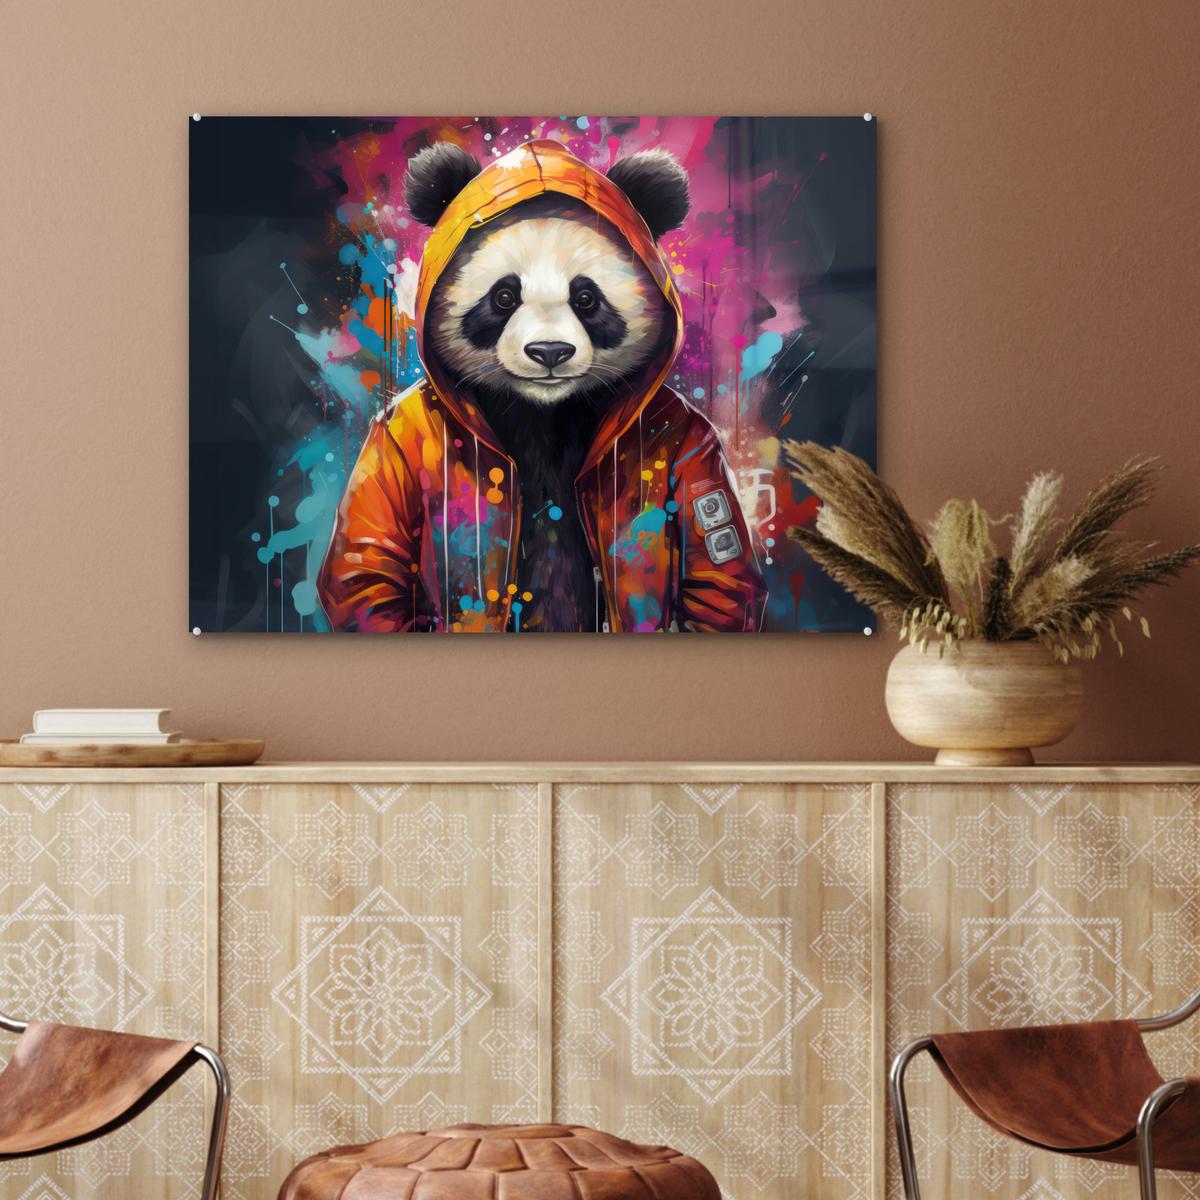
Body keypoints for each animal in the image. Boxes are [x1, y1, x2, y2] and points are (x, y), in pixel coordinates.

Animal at [318, 138, 765, 634]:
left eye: (586, 298)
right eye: (504, 296)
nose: (549, 352)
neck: (545, 410)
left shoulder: (691, 435)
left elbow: (714, 573)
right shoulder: (396, 433)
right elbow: (371, 563)